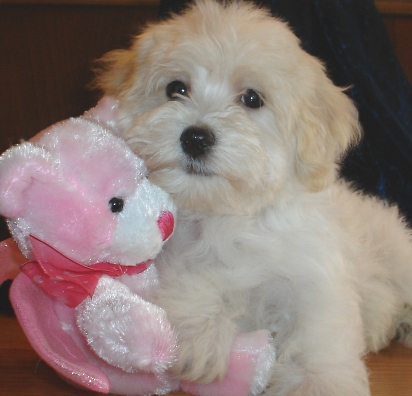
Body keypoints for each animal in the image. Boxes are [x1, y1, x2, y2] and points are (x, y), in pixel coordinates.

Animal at [95, 1, 412, 394]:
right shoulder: (169, 254)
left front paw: (318, 382)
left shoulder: (313, 280)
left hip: (395, 249)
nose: (195, 137)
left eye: (251, 99)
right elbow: (191, 277)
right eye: (176, 89)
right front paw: (202, 340)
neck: (229, 216)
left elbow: (316, 340)